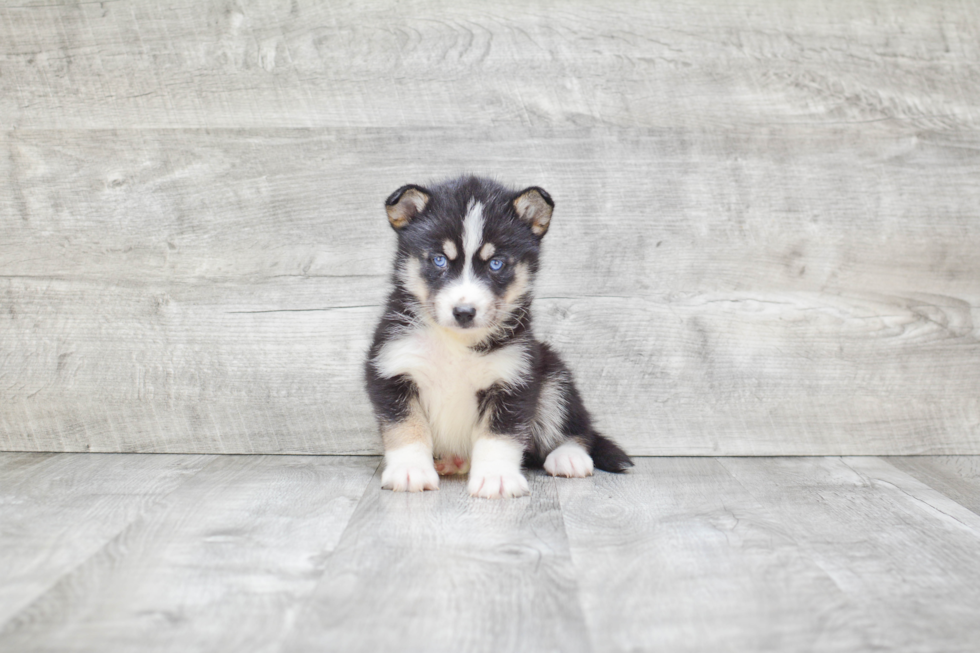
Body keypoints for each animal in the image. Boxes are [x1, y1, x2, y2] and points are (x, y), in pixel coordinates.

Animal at [364, 176, 632, 496]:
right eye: (439, 260)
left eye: (496, 263)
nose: (464, 312)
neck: (456, 343)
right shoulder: (393, 370)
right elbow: (407, 428)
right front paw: (410, 471)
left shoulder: (514, 378)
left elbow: (499, 436)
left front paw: (497, 477)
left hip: (554, 376)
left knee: (578, 428)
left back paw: (569, 456)